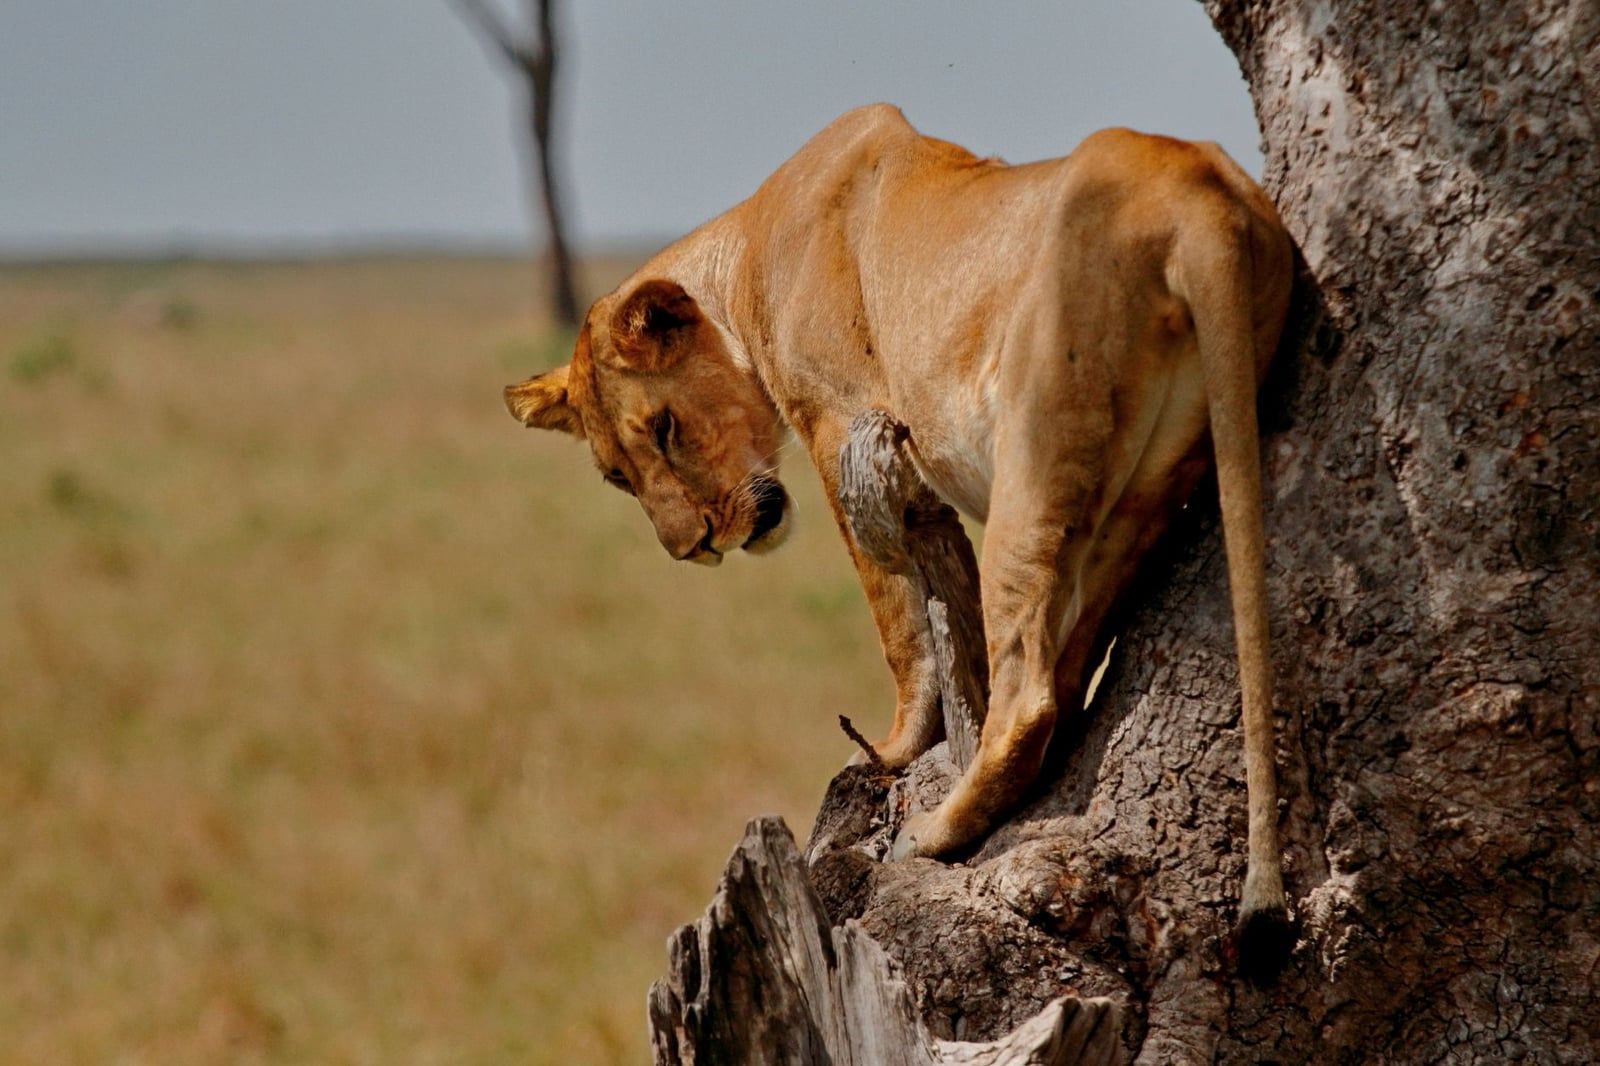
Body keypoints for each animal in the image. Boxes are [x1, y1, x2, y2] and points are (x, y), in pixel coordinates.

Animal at [504, 104, 1294, 963]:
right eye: (618, 476)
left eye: (664, 428)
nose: (694, 548)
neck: (744, 258)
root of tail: (1197, 195)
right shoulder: (912, 471)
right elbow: (945, 604)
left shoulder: (850, 433)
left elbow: (895, 614)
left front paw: (896, 747)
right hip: (1156, 478)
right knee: (1067, 657)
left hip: (1036, 452)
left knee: (1029, 695)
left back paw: (933, 832)